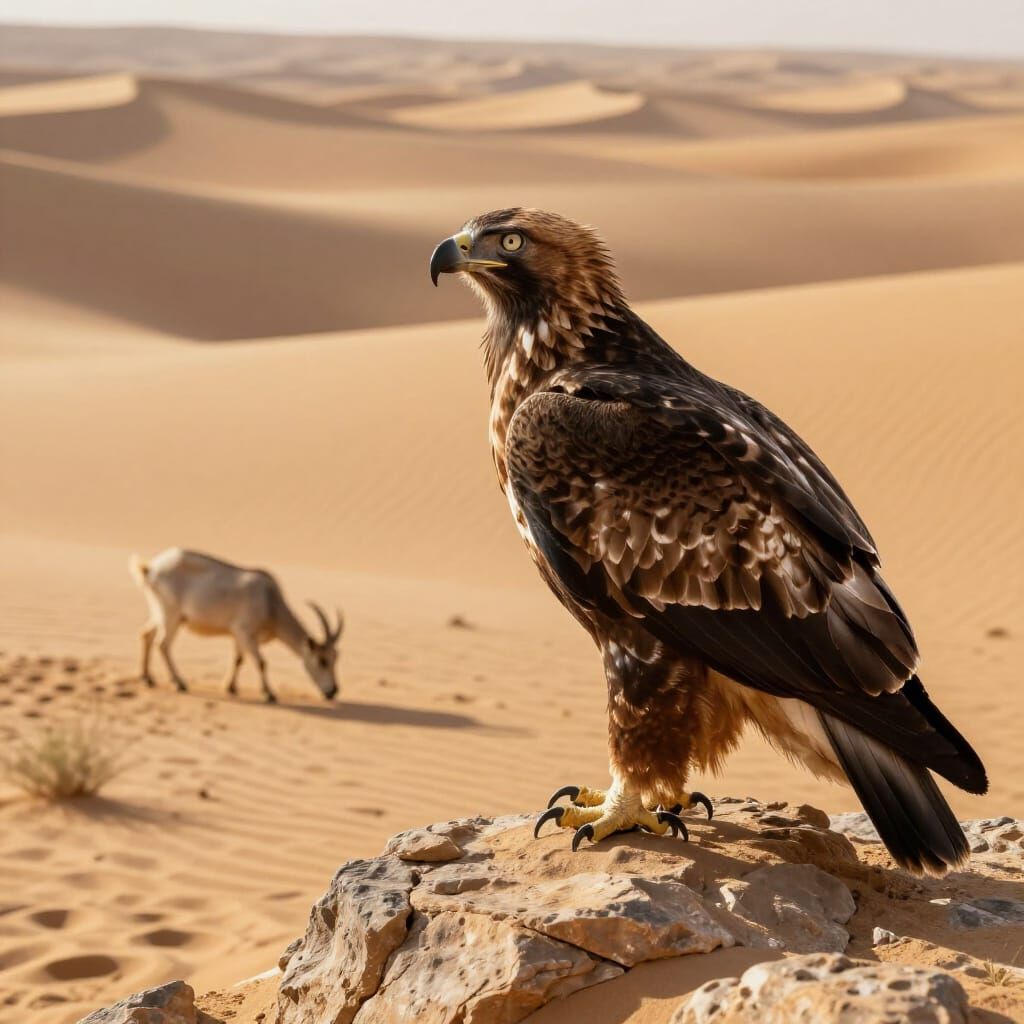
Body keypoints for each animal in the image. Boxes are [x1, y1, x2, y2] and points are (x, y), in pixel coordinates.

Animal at [130, 548, 342, 703]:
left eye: (335, 658)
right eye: (322, 660)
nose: (333, 691)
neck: (269, 601)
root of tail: (150, 569)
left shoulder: (239, 635)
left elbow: (238, 659)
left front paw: (230, 687)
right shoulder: (245, 631)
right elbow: (261, 662)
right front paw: (269, 693)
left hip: (159, 613)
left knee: (146, 635)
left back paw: (147, 678)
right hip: (171, 615)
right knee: (163, 644)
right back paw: (179, 683)